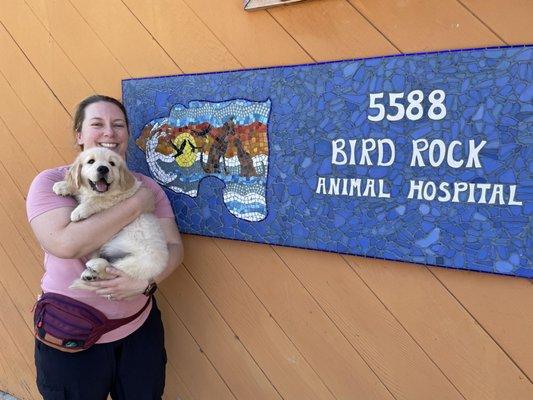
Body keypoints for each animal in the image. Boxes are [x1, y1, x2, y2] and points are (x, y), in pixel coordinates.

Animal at [52, 146, 168, 288]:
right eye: (91, 161)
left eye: (112, 163)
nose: (103, 168)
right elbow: (78, 187)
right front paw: (64, 186)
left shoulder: (118, 198)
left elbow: (97, 201)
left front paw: (79, 211)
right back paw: (91, 274)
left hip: (140, 263)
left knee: (113, 270)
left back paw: (95, 267)